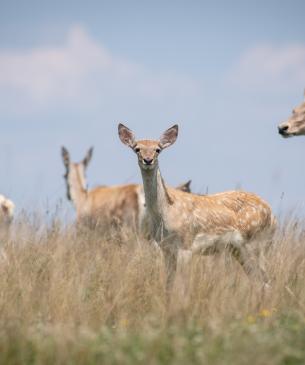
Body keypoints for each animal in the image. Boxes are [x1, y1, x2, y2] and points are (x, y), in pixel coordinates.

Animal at [117, 123, 274, 292]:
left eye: (158, 149)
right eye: (137, 148)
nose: (148, 160)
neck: (166, 213)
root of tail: (273, 217)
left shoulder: (186, 245)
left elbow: (182, 287)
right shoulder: (166, 248)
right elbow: (169, 285)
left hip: (255, 242)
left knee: (265, 281)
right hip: (238, 249)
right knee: (258, 281)